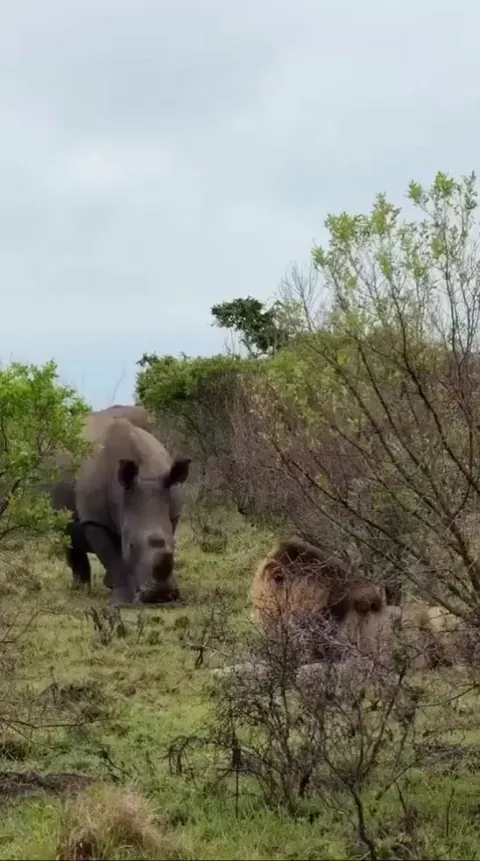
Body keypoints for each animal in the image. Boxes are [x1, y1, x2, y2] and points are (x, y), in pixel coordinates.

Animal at [50, 404, 190, 606]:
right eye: (131, 546)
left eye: (175, 546)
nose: (160, 595)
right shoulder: (95, 520)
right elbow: (113, 558)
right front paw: (122, 601)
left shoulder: (171, 513)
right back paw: (80, 590)